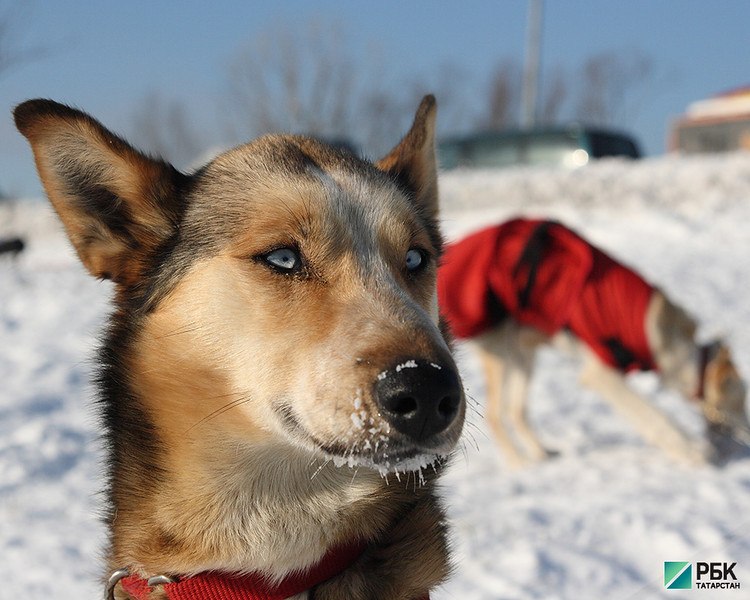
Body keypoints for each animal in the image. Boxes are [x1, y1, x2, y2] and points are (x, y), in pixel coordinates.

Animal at [438, 218, 748, 466]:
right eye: (741, 402)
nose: (747, 436)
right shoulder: (602, 373)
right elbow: (653, 415)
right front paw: (691, 452)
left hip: (523, 356)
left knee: (516, 411)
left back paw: (541, 453)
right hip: (502, 356)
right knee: (496, 415)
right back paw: (520, 464)